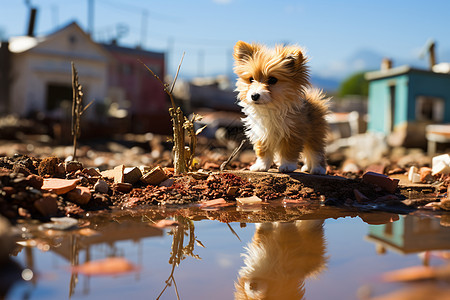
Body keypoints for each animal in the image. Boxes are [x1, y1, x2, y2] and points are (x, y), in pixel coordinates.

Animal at [234, 41, 328, 175]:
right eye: (251, 79)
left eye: (273, 80)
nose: (254, 95)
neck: (270, 108)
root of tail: (313, 99)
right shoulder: (261, 134)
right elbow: (263, 152)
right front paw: (261, 166)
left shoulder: (293, 133)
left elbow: (289, 151)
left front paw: (287, 166)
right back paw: (307, 167)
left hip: (314, 134)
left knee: (315, 152)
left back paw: (318, 169)